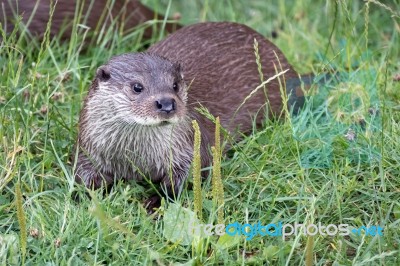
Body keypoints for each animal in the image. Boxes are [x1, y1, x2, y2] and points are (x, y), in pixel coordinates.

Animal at [76, 21, 300, 209]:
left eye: (175, 85)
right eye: (137, 87)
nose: (167, 103)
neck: (137, 158)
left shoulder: (190, 146)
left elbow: (187, 177)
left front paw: (156, 202)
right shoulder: (88, 148)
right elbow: (83, 176)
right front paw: (85, 198)